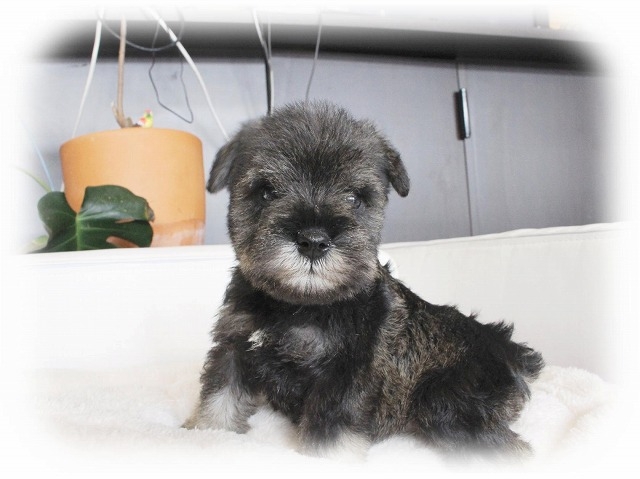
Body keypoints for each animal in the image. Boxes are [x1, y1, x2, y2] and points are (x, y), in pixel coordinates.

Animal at [184, 101, 544, 460]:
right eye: (267, 192)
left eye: (354, 198)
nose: (313, 241)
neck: (300, 305)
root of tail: (507, 348)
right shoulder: (235, 346)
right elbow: (219, 398)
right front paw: (205, 433)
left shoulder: (347, 371)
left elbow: (331, 430)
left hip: (448, 403)